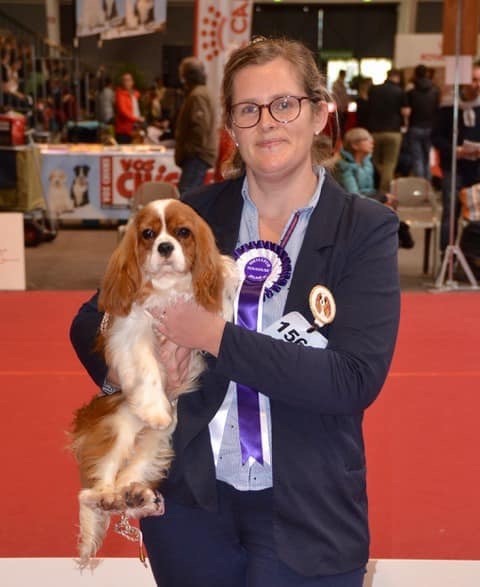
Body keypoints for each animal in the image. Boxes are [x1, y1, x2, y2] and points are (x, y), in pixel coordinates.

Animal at [69, 199, 238, 568]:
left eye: (182, 232)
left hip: (159, 443)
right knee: (92, 488)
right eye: (148, 234)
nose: (164, 247)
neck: (168, 288)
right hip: (119, 427)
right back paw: (107, 496)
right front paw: (155, 409)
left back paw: (135, 496)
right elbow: (147, 369)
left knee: (130, 475)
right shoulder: (132, 331)